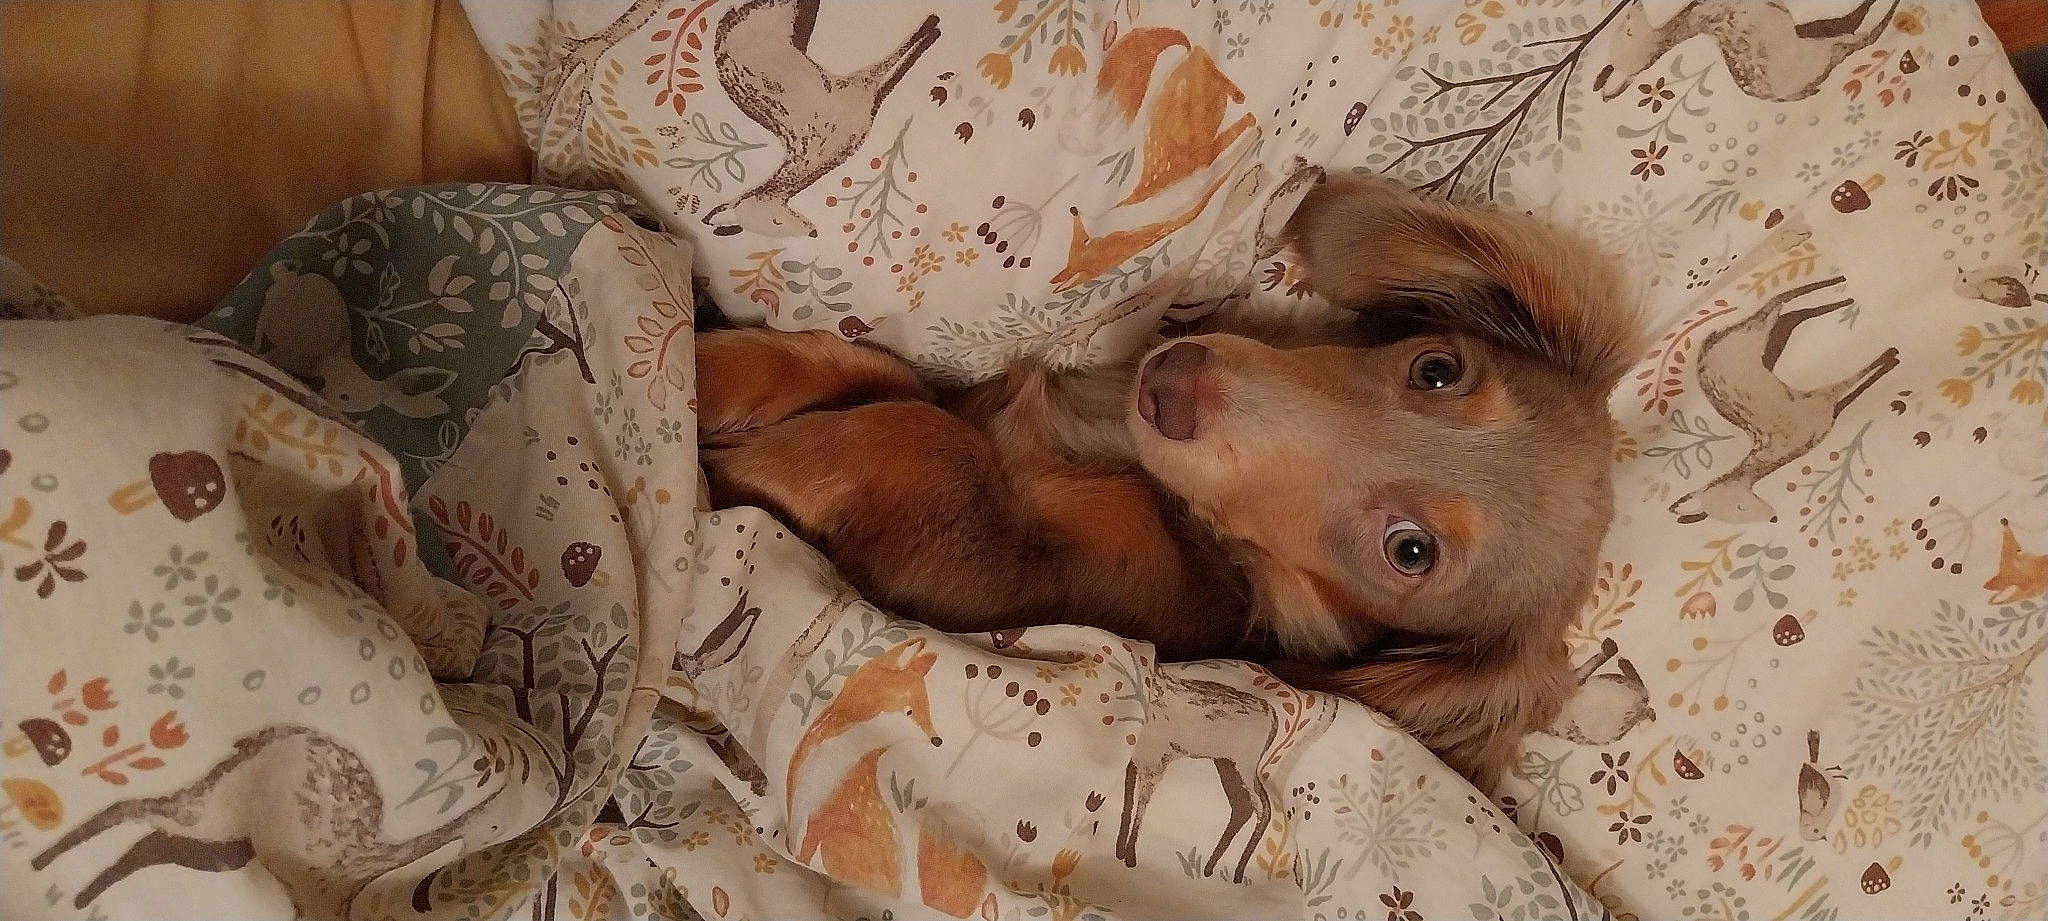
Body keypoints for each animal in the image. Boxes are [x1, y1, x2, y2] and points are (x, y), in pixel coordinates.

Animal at [31, 724, 501, 918]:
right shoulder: (316, 907)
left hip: (227, 838)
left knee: (150, 840)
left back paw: (79, 896)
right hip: (212, 809)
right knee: (129, 807)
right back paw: (42, 863)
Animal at [703, 0, 941, 238]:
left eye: (776, 221)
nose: (813, 233)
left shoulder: (856, 86)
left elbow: (891, 60)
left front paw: (932, 27)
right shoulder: (866, 104)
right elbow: (892, 78)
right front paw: (931, 34)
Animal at [1669, 275, 1899, 525]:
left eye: (1740, 506)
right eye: (1735, 516)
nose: (1773, 518)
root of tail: (1707, 344)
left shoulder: (1819, 399)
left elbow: (1853, 379)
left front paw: (1891, 355)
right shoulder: (1825, 411)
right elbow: (1853, 389)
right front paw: (1890, 360)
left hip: (1752, 334)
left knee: (1776, 302)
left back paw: (1838, 285)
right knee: (1789, 314)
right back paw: (1840, 299)